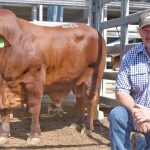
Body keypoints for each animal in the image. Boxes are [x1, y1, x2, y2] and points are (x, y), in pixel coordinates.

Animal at [0, 8, 106, 145]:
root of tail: (95, 31)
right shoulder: (4, 85)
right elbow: (5, 109)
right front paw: (3, 135)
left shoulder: (35, 80)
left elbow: (34, 107)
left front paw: (34, 136)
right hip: (77, 81)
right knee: (80, 99)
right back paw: (77, 124)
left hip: (93, 77)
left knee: (91, 100)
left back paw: (88, 129)